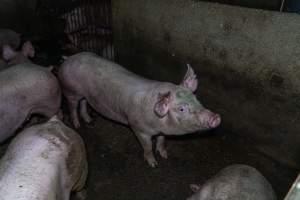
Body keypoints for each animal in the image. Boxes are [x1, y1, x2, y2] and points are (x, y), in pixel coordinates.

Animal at [59, 52, 220, 167]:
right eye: (181, 109)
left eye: (196, 99)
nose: (215, 117)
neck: (158, 122)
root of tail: (69, 58)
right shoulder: (138, 128)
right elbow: (147, 146)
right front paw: (154, 164)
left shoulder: (162, 131)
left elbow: (161, 141)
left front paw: (165, 155)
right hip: (70, 90)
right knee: (72, 106)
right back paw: (77, 125)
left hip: (84, 94)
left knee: (83, 103)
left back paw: (90, 121)